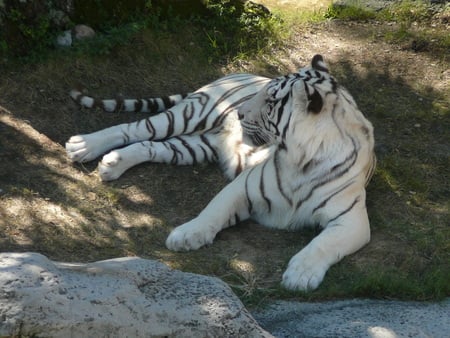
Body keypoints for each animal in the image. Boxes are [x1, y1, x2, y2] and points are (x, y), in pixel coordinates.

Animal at [66, 54, 376, 290]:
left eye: (271, 102)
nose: (239, 114)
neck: (301, 158)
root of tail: (238, 73)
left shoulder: (351, 219)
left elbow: (322, 244)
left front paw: (300, 275)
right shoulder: (244, 185)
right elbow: (212, 211)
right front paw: (185, 236)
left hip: (196, 146)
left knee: (150, 146)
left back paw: (112, 164)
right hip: (187, 115)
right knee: (133, 129)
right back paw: (83, 145)